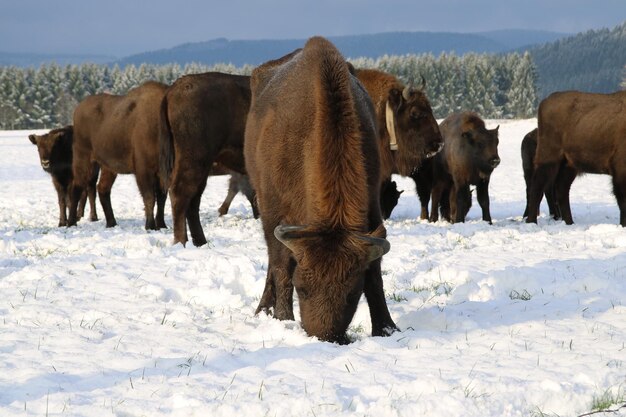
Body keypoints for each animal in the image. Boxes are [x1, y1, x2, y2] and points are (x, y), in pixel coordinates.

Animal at [69, 80, 168, 231]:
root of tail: (78, 109)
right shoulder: (143, 170)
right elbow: (150, 197)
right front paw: (150, 226)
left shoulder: (162, 173)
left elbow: (162, 198)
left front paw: (162, 225)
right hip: (84, 159)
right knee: (77, 187)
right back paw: (71, 222)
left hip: (108, 167)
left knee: (102, 188)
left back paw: (111, 222)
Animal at [157, 72, 250, 245]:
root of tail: (175, 88)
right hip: (195, 160)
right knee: (181, 193)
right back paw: (182, 242)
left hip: (201, 166)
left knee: (193, 200)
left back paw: (200, 242)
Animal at [244, 36, 394, 342]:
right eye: (303, 287)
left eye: (352, 293)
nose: (325, 336)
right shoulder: (274, 211)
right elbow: (281, 266)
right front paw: (283, 318)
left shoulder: (371, 206)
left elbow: (375, 275)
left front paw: (386, 327)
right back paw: (264, 309)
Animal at [524, 90, 620, 226]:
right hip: (549, 161)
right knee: (539, 187)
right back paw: (533, 221)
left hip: (567, 166)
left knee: (558, 189)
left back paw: (566, 221)